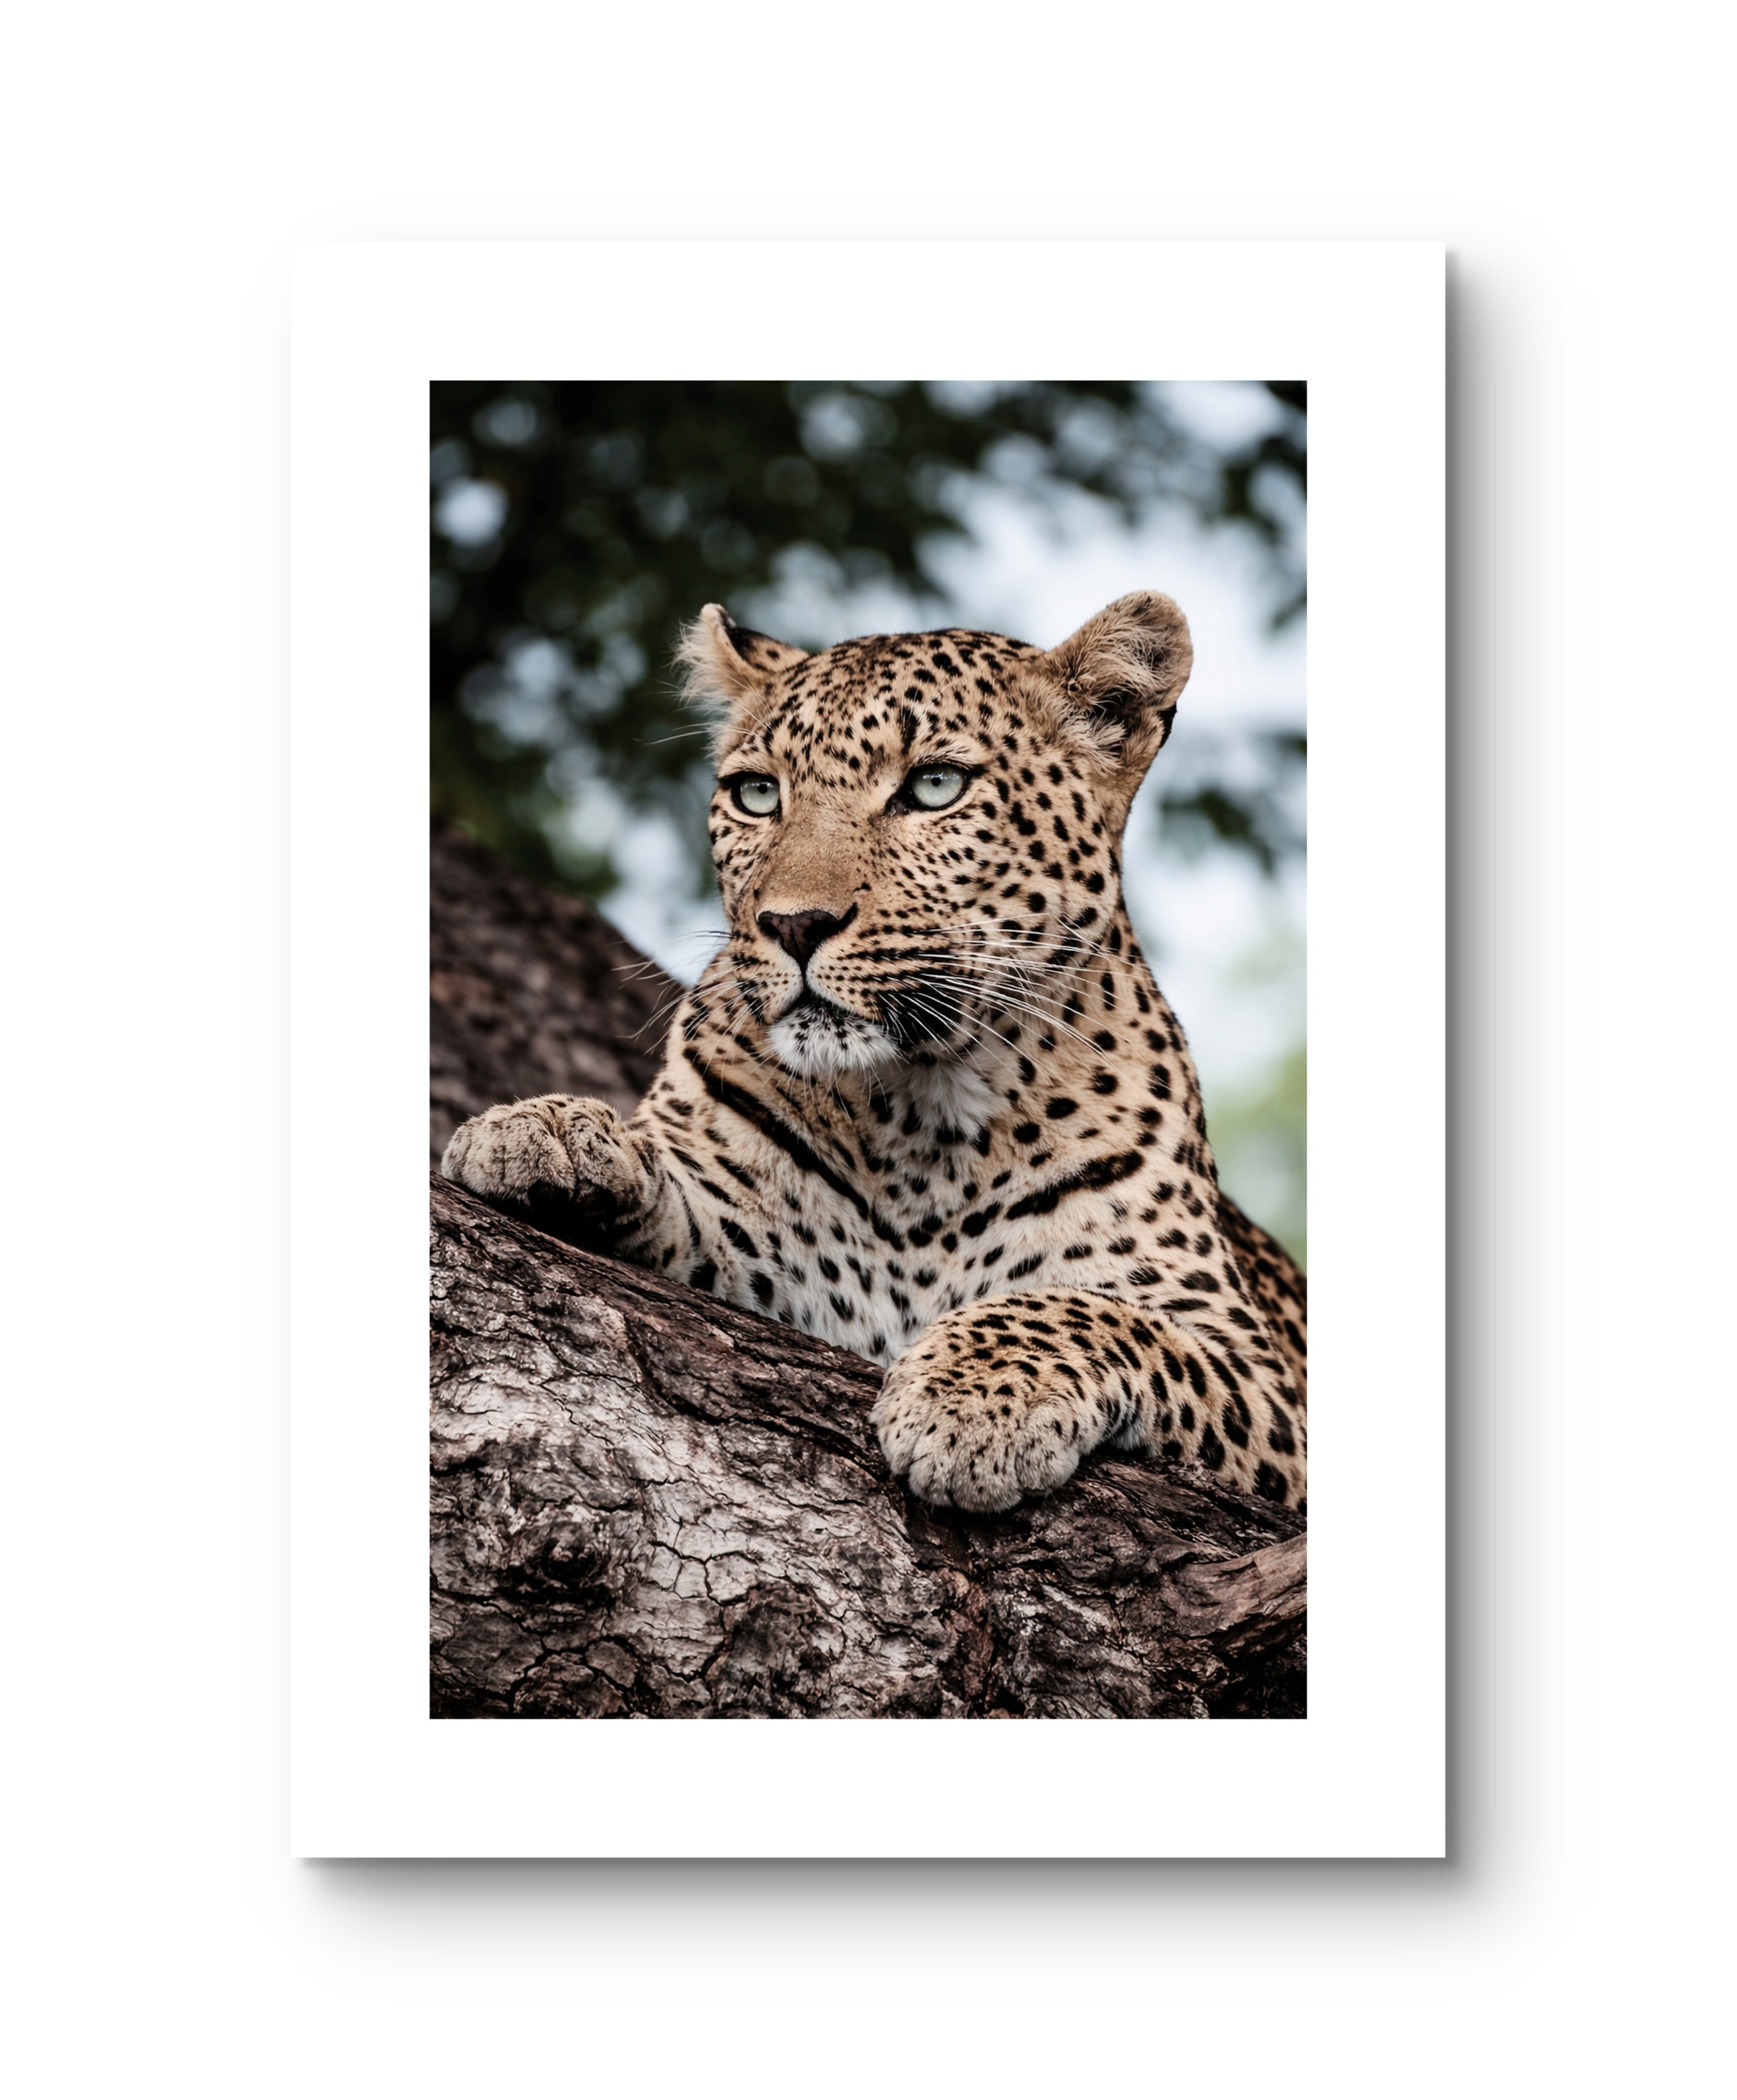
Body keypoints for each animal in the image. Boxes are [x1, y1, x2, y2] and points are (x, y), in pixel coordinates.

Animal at [442, 591, 1307, 1514]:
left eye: (934, 786)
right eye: (757, 794)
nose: (792, 924)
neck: (923, 1115)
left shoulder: (1256, 1370)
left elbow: (1091, 1312)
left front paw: (972, 1399)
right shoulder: (756, 1248)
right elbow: (679, 1185)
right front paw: (552, 1133)